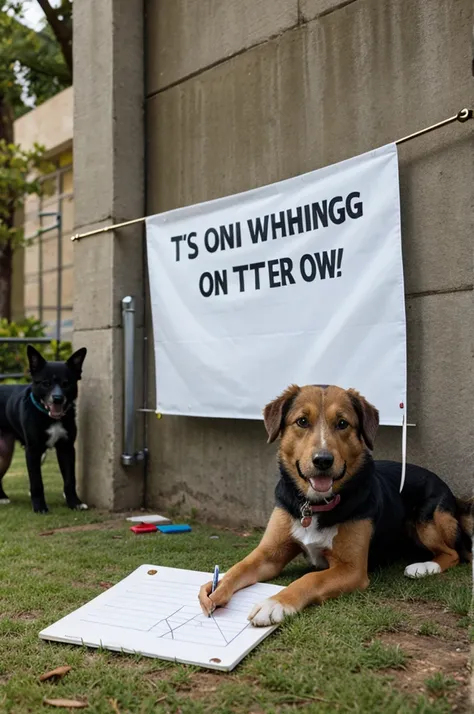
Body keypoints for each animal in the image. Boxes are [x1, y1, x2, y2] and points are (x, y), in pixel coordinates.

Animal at [0, 344, 87, 512]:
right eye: (46, 383)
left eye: (66, 383)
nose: (58, 399)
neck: (49, 417)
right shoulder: (33, 451)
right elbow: (36, 483)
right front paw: (40, 507)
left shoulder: (66, 448)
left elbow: (70, 480)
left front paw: (75, 503)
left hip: (5, 451)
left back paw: (2, 496)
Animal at [198, 384, 472, 624]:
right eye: (302, 421)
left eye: (342, 423)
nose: (323, 460)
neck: (314, 505)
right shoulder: (269, 554)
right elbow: (239, 567)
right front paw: (215, 589)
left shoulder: (352, 569)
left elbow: (310, 579)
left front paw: (275, 603)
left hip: (428, 518)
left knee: (453, 553)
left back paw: (423, 567)